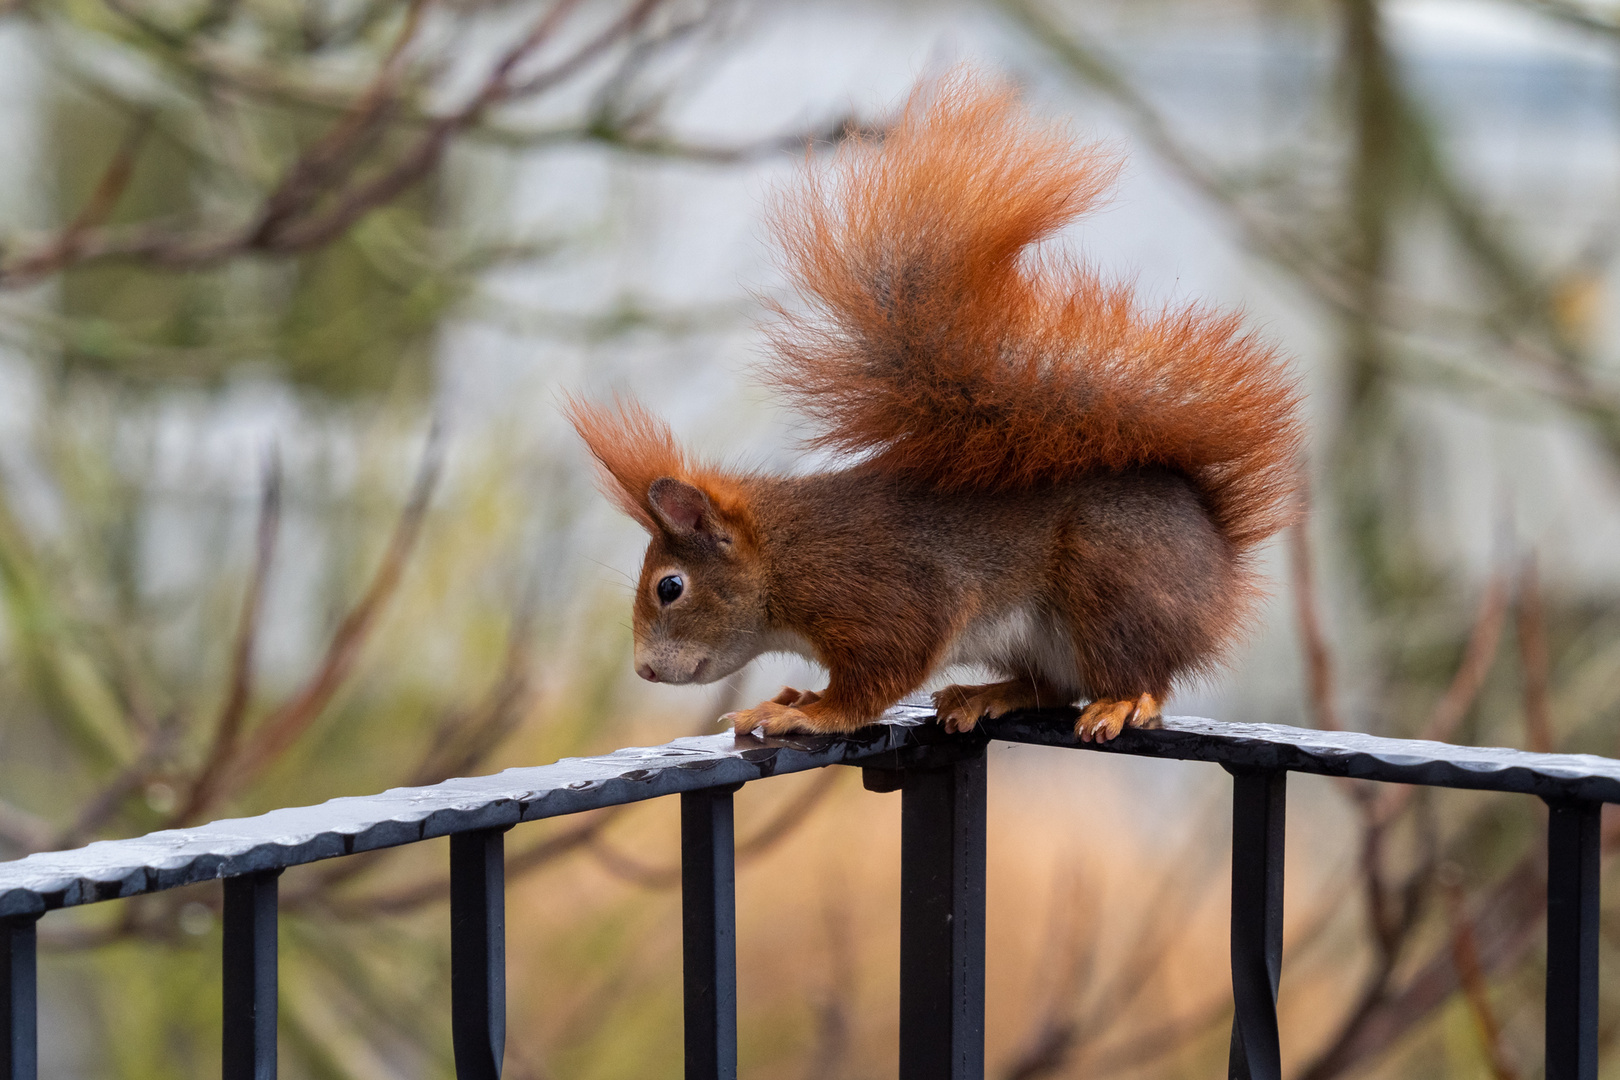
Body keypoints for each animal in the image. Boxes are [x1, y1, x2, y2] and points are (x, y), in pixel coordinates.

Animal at [570, 67, 1302, 744]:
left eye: (670, 587)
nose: (643, 670)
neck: (785, 556)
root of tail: (1219, 558)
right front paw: (794, 698)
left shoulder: (885, 598)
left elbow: (878, 678)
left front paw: (810, 713)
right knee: (1052, 686)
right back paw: (990, 693)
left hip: (1114, 586)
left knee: (1141, 675)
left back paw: (1120, 701)